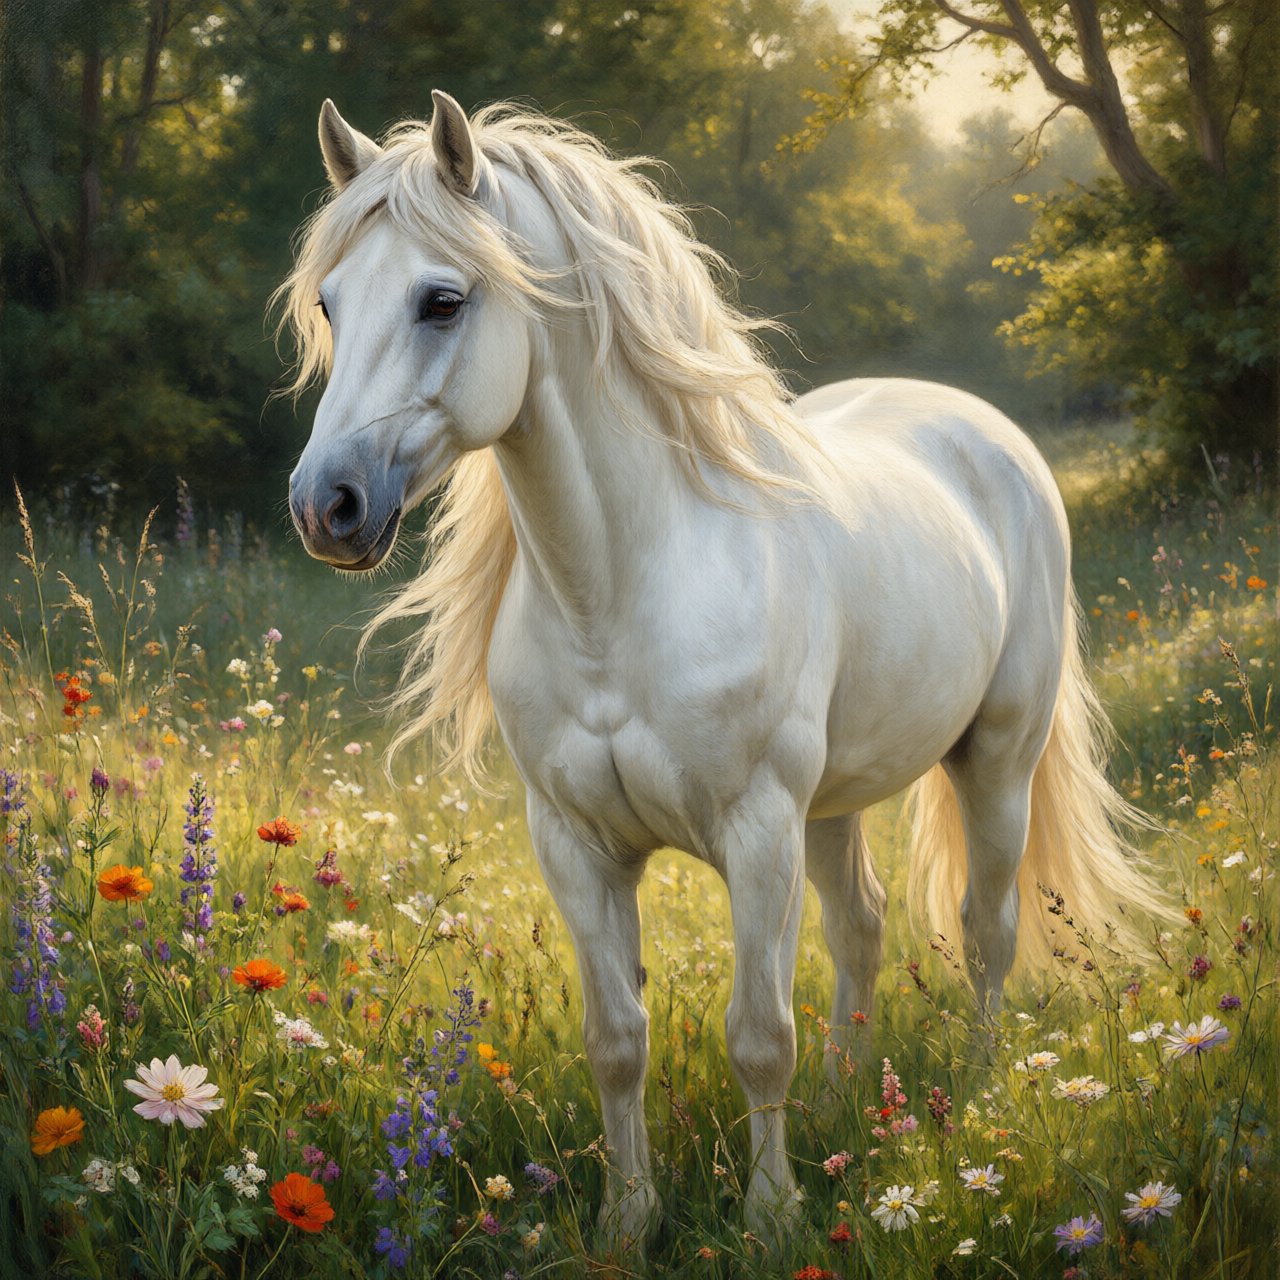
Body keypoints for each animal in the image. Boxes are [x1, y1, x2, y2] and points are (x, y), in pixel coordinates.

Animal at [280, 90, 1163, 1244]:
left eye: (441, 300)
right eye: (330, 304)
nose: (324, 506)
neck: (623, 589)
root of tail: (987, 434)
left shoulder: (755, 828)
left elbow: (758, 1034)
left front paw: (773, 1218)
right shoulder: (575, 844)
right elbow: (617, 1040)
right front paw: (626, 1220)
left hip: (993, 761)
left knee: (985, 930)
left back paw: (974, 1093)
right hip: (833, 800)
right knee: (860, 924)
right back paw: (846, 1098)